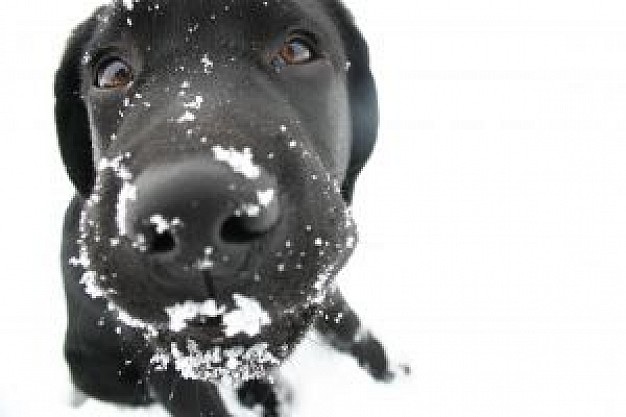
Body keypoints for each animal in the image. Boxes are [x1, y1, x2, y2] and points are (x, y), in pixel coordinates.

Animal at [56, 0, 392, 412]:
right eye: (112, 73)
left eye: (298, 50)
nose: (194, 212)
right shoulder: (164, 365)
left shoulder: (321, 277)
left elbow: (350, 325)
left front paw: (392, 375)